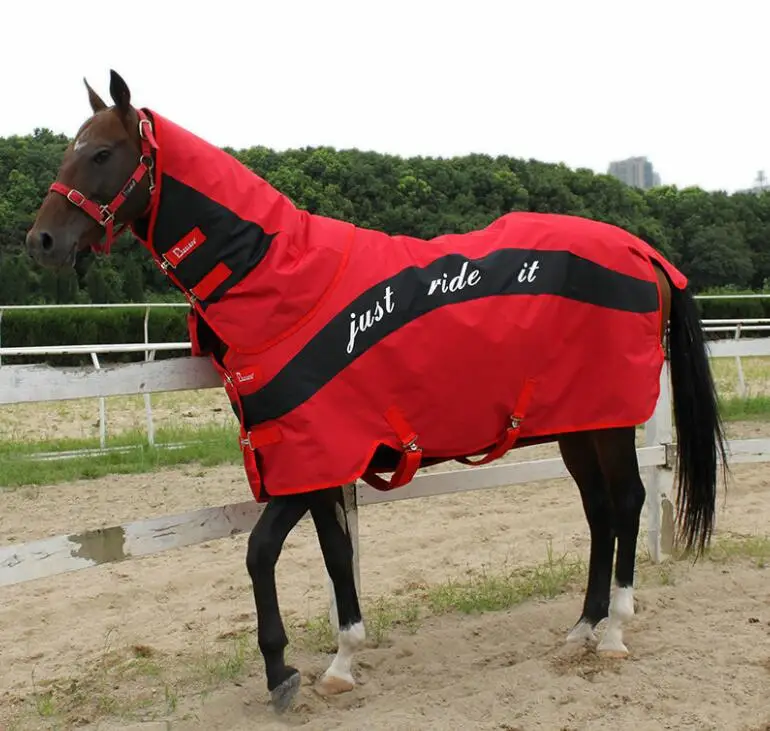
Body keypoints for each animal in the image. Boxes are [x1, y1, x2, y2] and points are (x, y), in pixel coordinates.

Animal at [25, 70, 728, 714]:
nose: (41, 241)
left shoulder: (311, 456)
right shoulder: (315, 461)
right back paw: (581, 626)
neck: (286, 281)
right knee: (599, 510)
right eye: (71, 148)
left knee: (629, 501)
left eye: (101, 152)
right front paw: (341, 661)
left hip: (608, 423)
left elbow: (259, 552)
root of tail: (644, 253)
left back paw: (613, 630)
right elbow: (336, 553)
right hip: (578, 424)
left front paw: (281, 672)